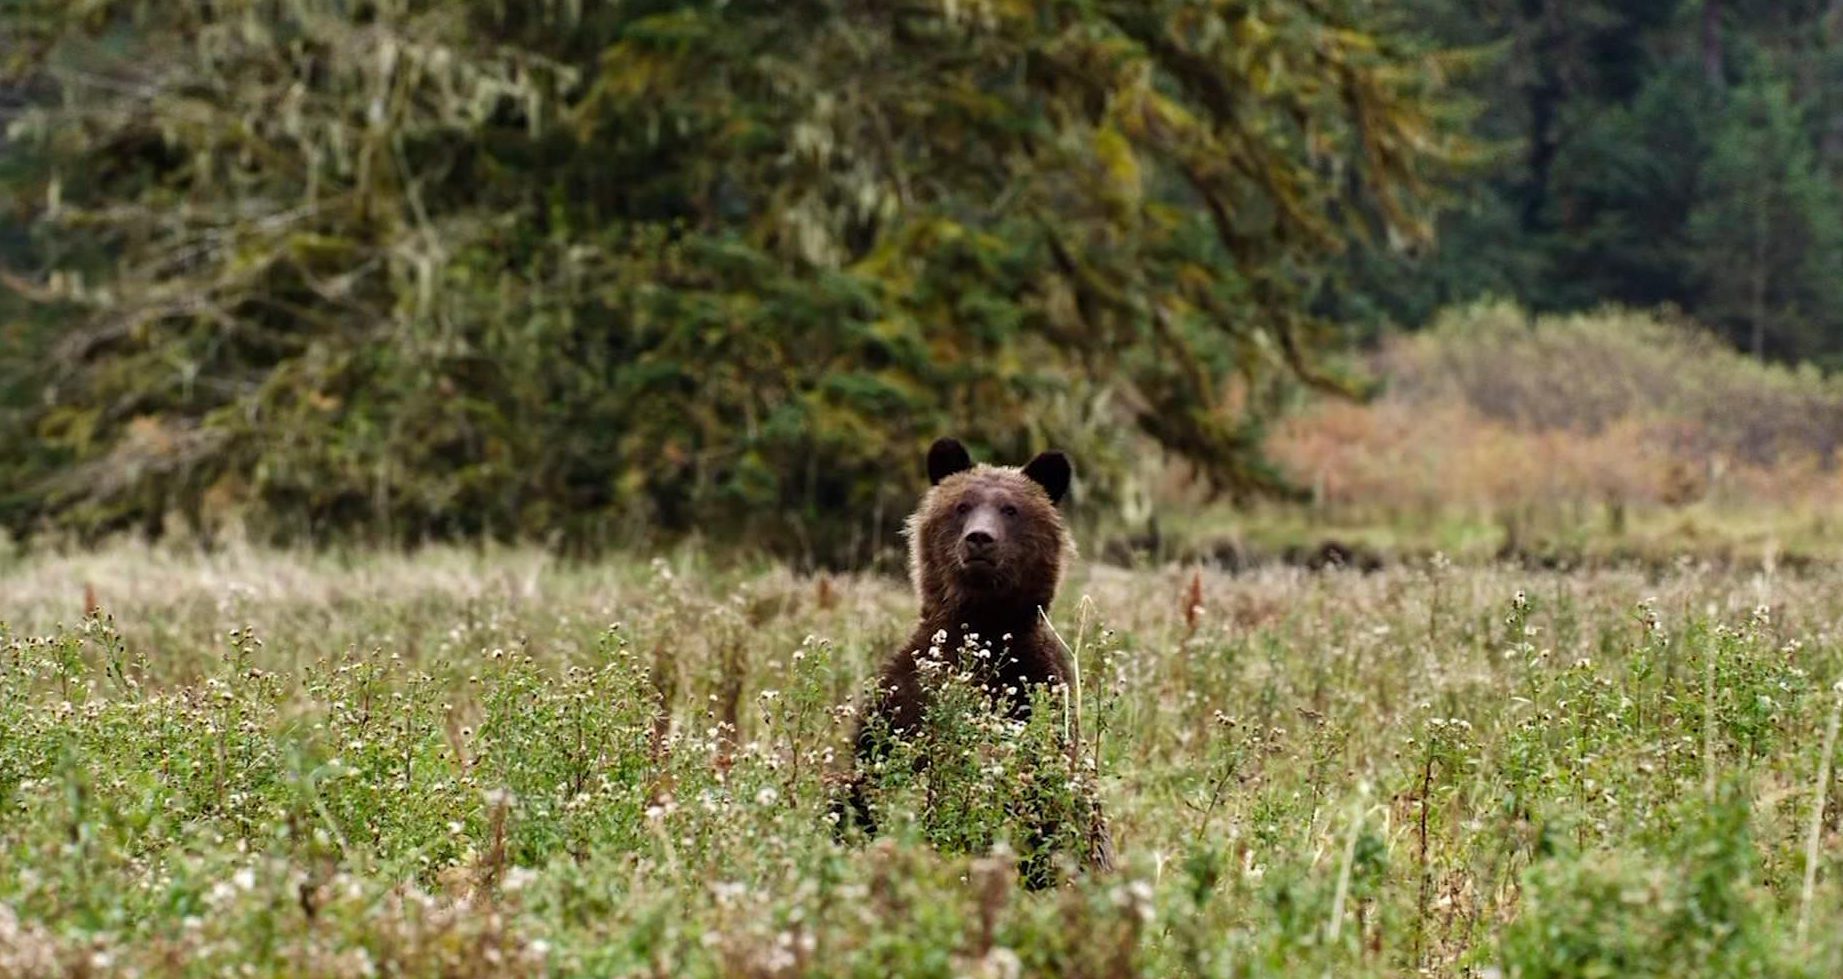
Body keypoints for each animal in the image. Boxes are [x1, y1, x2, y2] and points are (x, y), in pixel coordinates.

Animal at [838, 436, 1114, 885]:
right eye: (962, 505)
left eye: (1010, 509)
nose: (980, 539)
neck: (982, 628)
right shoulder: (901, 695)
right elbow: (876, 756)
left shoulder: (1037, 690)